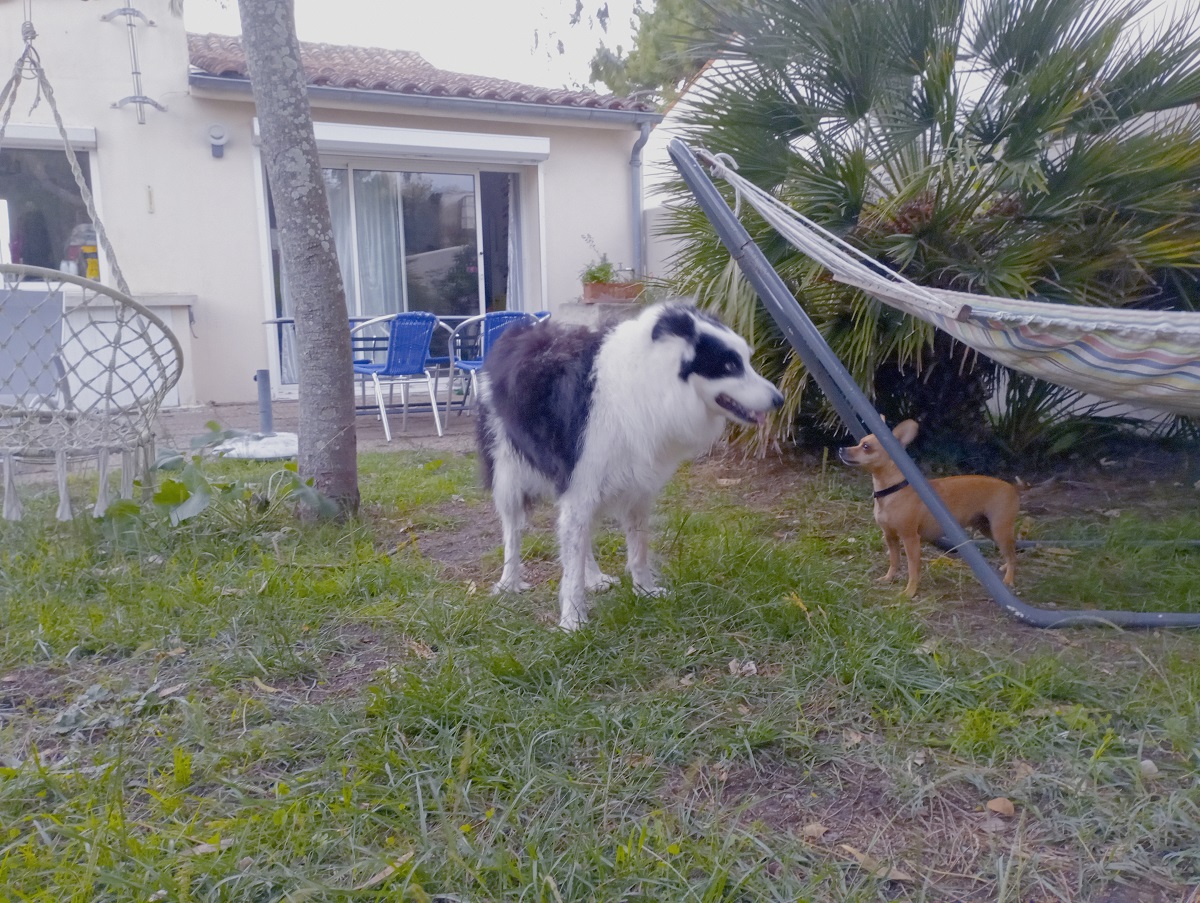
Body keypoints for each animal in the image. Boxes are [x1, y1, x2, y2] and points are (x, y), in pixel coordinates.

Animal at [477, 303, 787, 629]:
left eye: (746, 361)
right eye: (729, 366)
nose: (779, 400)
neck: (654, 383)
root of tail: (517, 330)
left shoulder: (635, 489)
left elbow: (637, 549)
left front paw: (645, 591)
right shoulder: (580, 486)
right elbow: (570, 566)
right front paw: (572, 621)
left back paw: (594, 577)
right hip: (507, 475)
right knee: (513, 532)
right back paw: (508, 583)